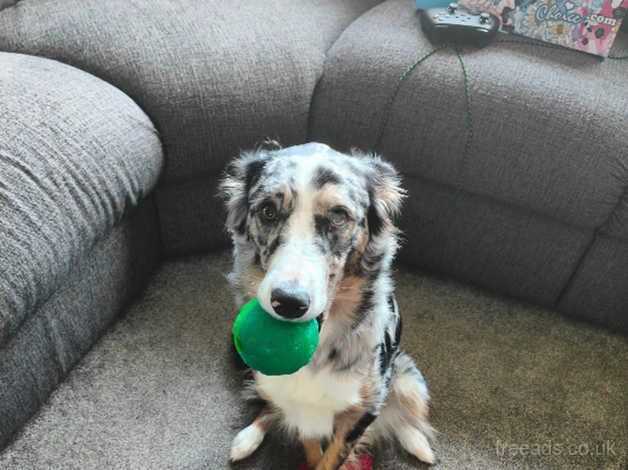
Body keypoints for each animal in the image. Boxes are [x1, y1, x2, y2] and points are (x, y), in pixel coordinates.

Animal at [222, 141, 436, 468]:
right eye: (268, 211)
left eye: (338, 215)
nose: (289, 302)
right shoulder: (296, 403)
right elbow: (310, 445)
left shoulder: (361, 412)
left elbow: (334, 456)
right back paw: (247, 438)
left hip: (408, 379)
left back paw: (417, 441)